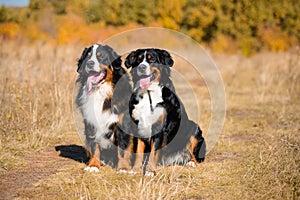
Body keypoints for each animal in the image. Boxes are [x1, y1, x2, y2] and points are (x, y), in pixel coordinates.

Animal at [75, 43, 132, 172]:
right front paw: (93, 165)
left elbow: (122, 149)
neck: (100, 92)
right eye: (88, 56)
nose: (89, 63)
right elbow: (94, 145)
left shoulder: (122, 124)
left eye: (100, 57)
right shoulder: (91, 122)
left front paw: (123, 168)